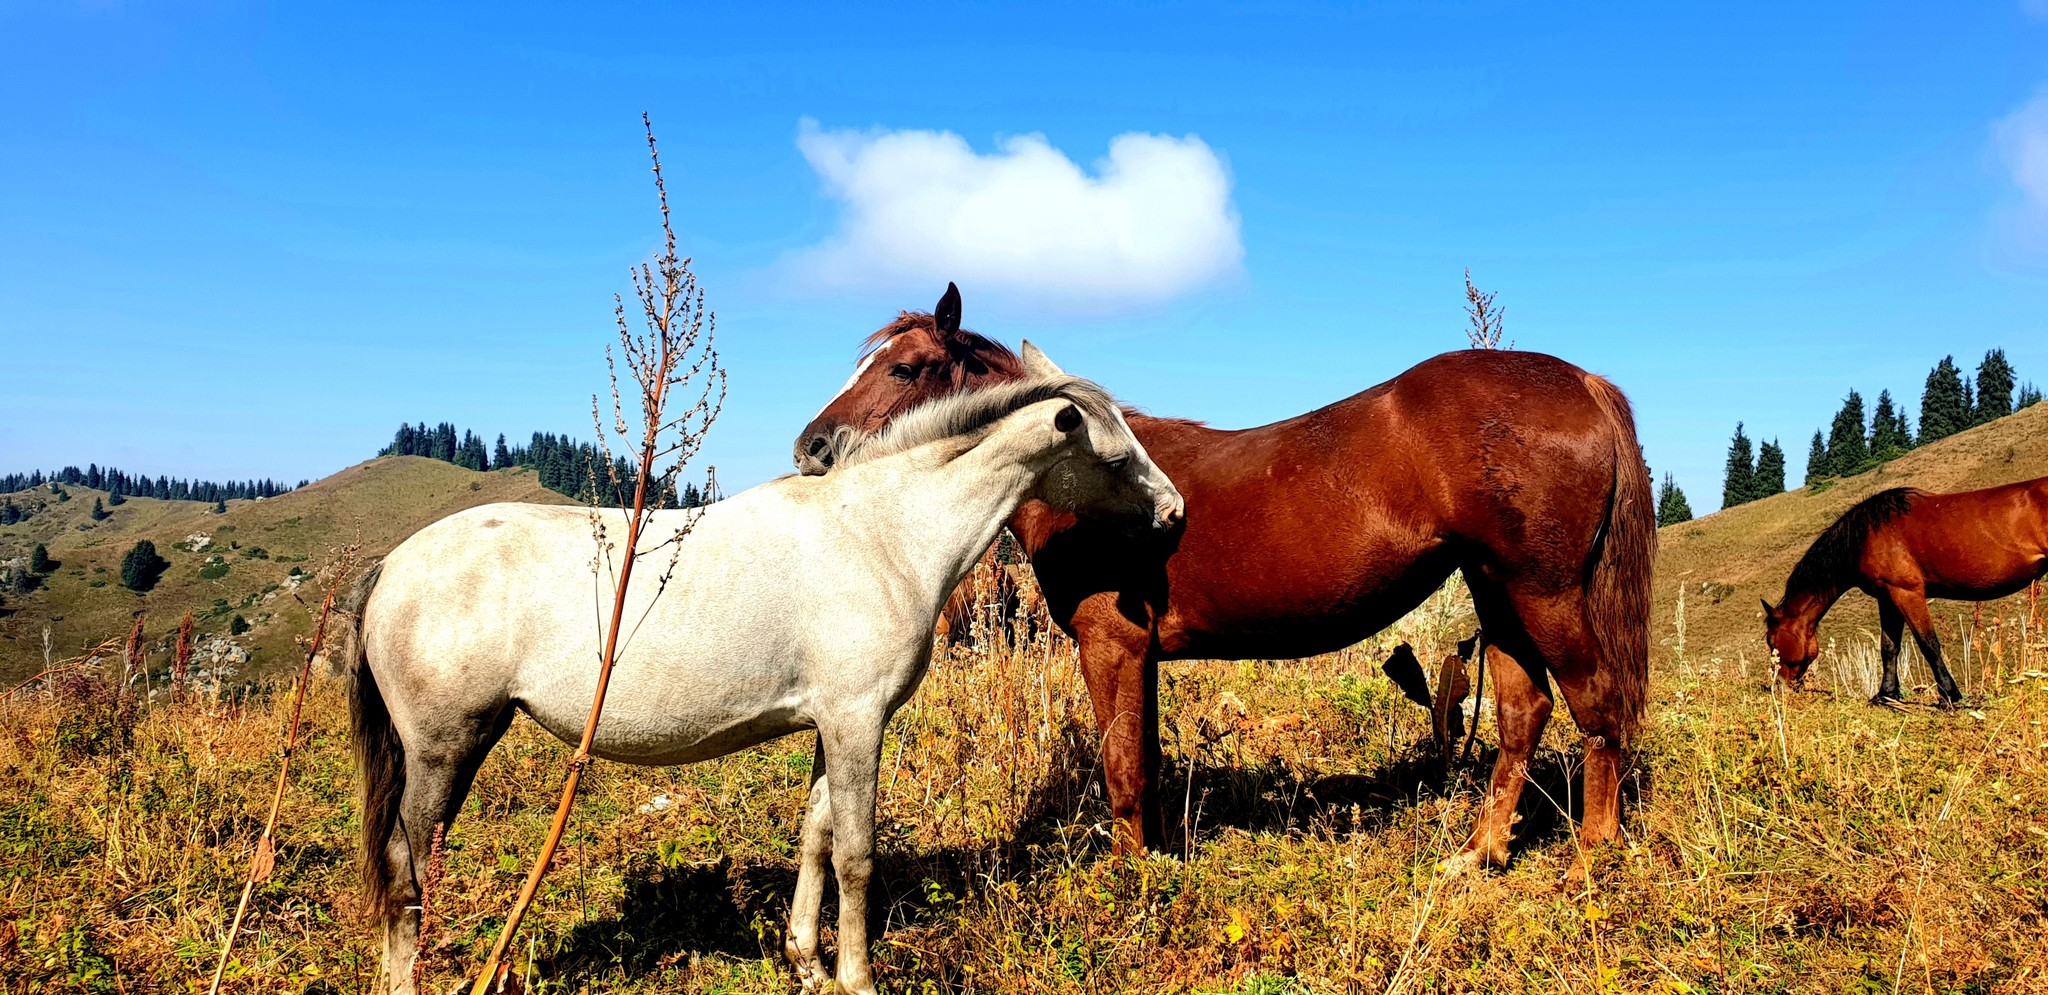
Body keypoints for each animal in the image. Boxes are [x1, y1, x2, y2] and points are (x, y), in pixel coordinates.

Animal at [348, 343, 1187, 995]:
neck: (882, 531)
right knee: (406, 867)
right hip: (443, 747)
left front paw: (808, 963)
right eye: (1117, 456)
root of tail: (389, 566)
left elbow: (815, 834)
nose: (1175, 511)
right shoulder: (856, 720)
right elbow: (855, 853)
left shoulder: (831, 722)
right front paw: (857, 977)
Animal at [790, 284, 1654, 880]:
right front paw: (1156, 858)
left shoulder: (1110, 643)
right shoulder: (1138, 653)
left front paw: (1127, 880)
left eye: (905, 366)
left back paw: (1590, 857)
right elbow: (1143, 759)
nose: (812, 448)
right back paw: (1479, 853)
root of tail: (1582, 381)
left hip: (1543, 591)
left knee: (1597, 705)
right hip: (1496, 588)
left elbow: (1121, 764)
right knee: (1523, 711)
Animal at [1761, 477, 2048, 704]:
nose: (1779, 687)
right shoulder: (1887, 597)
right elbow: (1889, 647)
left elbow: (1928, 644)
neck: (1864, 536)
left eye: (1772, 642)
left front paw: (1950, 695)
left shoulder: (1907, 593)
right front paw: (1886, 694)